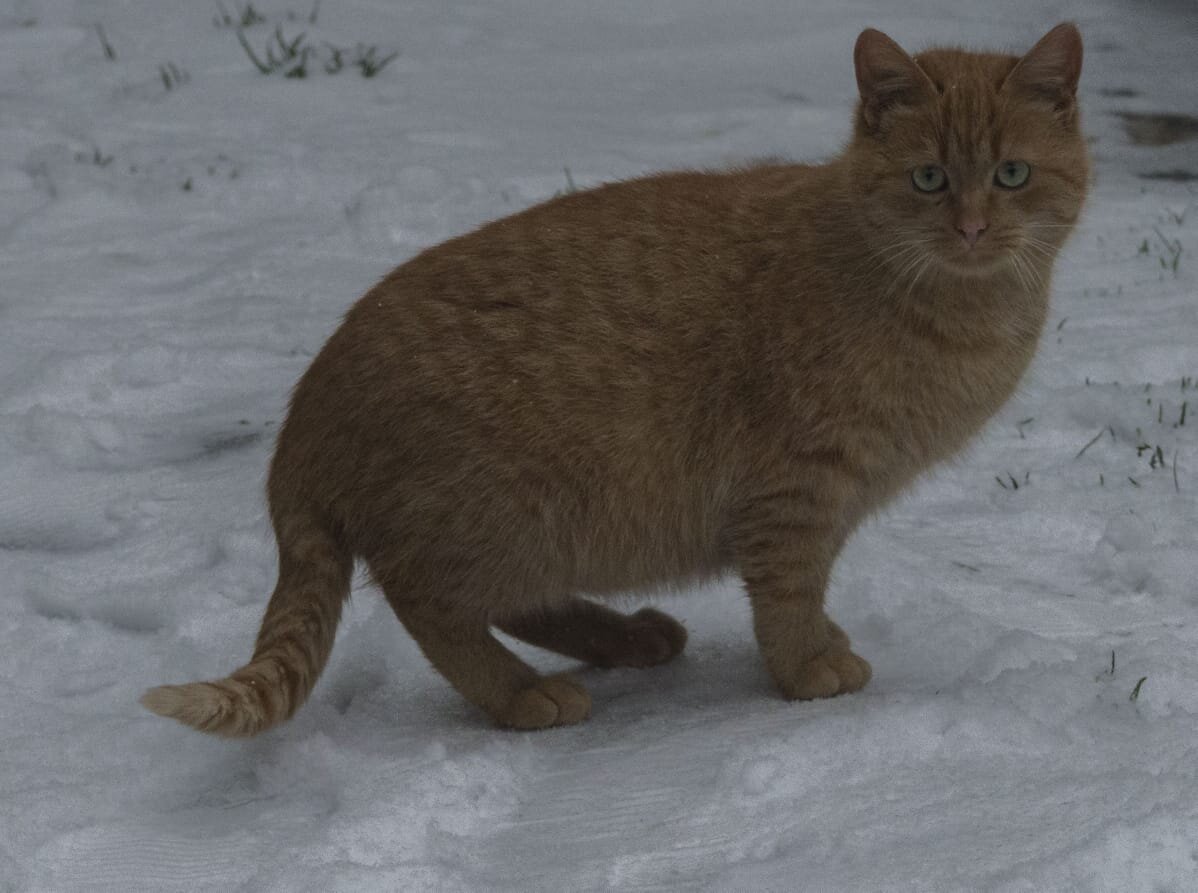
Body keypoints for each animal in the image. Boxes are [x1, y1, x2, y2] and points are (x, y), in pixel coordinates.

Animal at [140, 26, 1087, 733]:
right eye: (929, 178)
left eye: (1012, 174)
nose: (972, 228)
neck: (952, 310)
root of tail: (304, 412)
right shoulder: (797, 486)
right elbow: (787, 588)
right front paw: (804, 668)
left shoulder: (824, 500)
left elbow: (809, 582)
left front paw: (816, 639)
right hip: (506, 515)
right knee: (431, 603)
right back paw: (523, 692)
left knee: (514, 603)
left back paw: (629, 638)